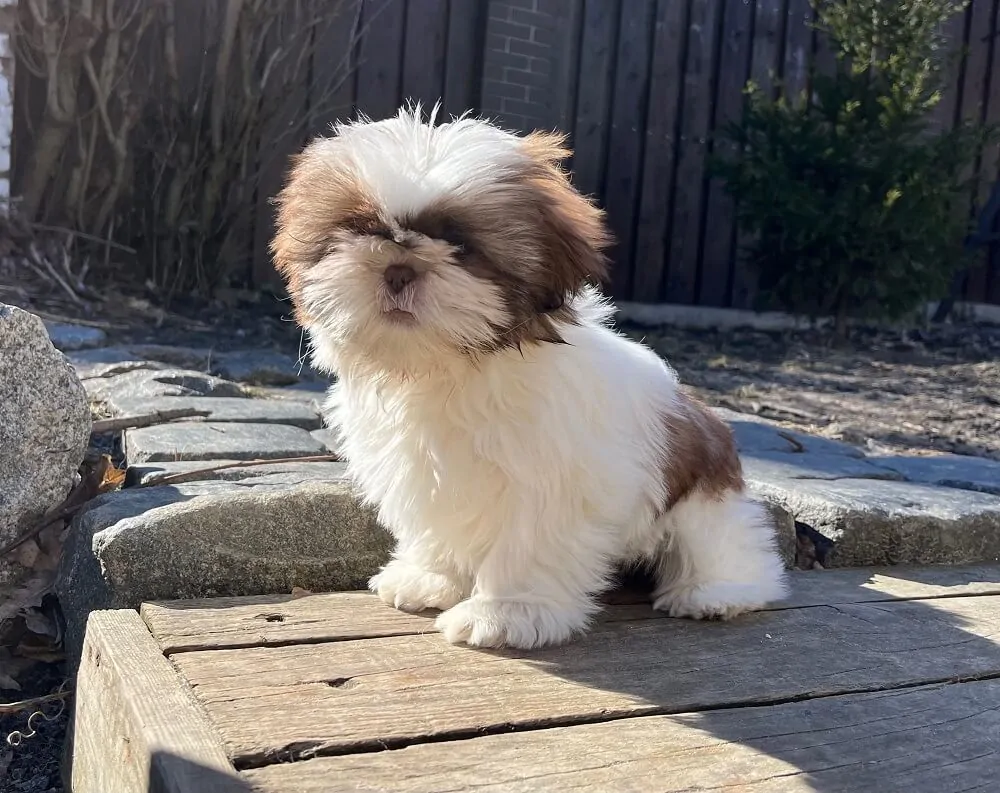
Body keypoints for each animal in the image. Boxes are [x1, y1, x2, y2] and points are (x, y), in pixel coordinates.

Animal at [272, 106, 788, 648]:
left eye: (460, 244)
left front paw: (506, 612)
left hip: (705, 503)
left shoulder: (553, 482)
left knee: (727, 547)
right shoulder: (421, 473)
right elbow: (438, 524)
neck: (453, 369)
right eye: (358, 228)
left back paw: (714, 592)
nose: (398, 268)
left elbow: (527, 543)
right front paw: (430, 578)